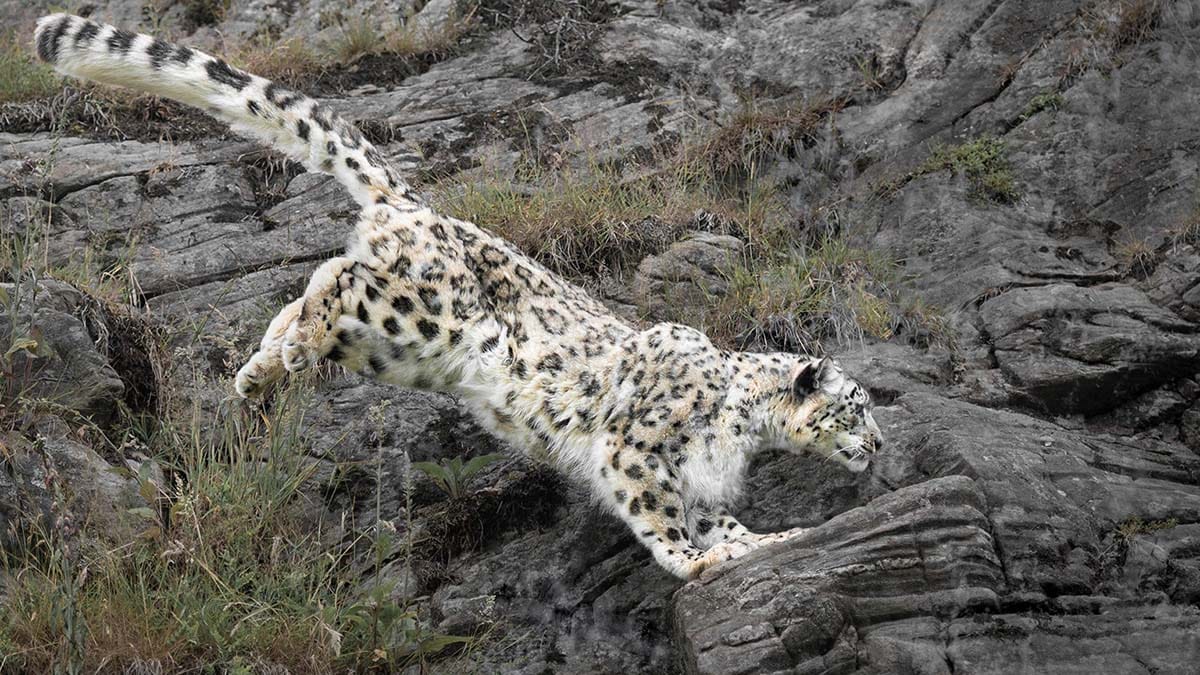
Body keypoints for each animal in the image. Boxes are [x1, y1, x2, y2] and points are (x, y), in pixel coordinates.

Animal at [34, 13, 884, 579]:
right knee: (338, 283)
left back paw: (262, 367)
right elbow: (660, 514)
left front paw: (762, 542)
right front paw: (695, 562)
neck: (740, 425)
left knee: (314, 283)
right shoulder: (641, 448)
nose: (879, 445)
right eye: (854, 407)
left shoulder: (698, 477)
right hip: (423, 318)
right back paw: (290, 350)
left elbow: (720, 518)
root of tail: (419, 206)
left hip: (396, 346)